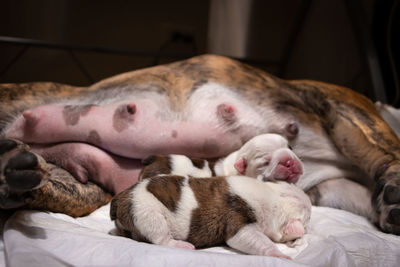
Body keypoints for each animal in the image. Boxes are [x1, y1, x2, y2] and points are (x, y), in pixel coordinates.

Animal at [110, 175, 312, 258]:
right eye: (307, 218)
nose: (309, 202)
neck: (272, 197)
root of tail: (119, 199)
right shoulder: (238, 222)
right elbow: (255, 239)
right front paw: (278, 254)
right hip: (146, 212)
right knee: (160, 238)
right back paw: (181, 244)